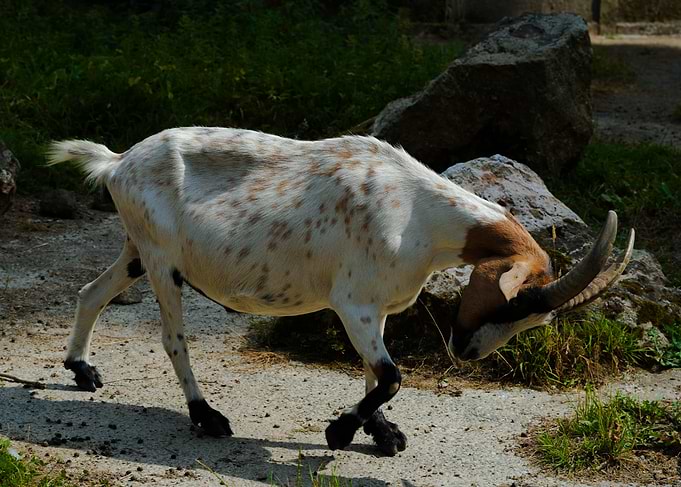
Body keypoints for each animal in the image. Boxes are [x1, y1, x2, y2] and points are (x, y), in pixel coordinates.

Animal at [48, 127, 634, 456]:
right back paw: (206, 417)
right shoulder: (354, 305)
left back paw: (81, 370)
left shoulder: (375, 309)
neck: (417, 211)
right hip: (162, 261)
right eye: (516, 301)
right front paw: (340, 433)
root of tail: (117, 162)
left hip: (137, 251)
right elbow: (392, 376)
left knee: (91, 292)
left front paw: (382, 434)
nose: (468, 351)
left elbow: (375, 373)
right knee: (173, 340)